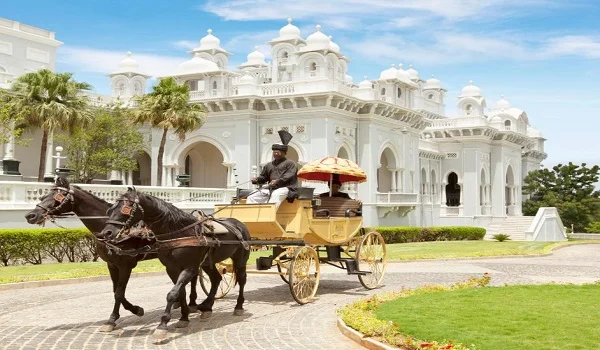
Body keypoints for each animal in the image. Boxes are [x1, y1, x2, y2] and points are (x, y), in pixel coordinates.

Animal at [24, 176, 202, 332]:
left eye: (58, 197)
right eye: (43, 195)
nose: (30, 215)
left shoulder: (126, 265)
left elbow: (118, 293)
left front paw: (114, 319)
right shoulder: (111, 265)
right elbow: (117, 291)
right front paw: (133, 309)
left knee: (194, 275)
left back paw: (192, 302)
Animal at [99, 187, 250, 340]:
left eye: (126, 208)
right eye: (110, 209)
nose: (106, 233)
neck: (178, 233)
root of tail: (238, 224)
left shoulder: (190, 268)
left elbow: (172, 294)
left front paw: (162, 325)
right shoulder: (171, 269)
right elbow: (180, 292)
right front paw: (184, 318)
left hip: (240, 258)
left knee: (242, 279)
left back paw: (238, 306)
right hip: (208, 263)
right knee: (216, 278)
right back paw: (207, 307)